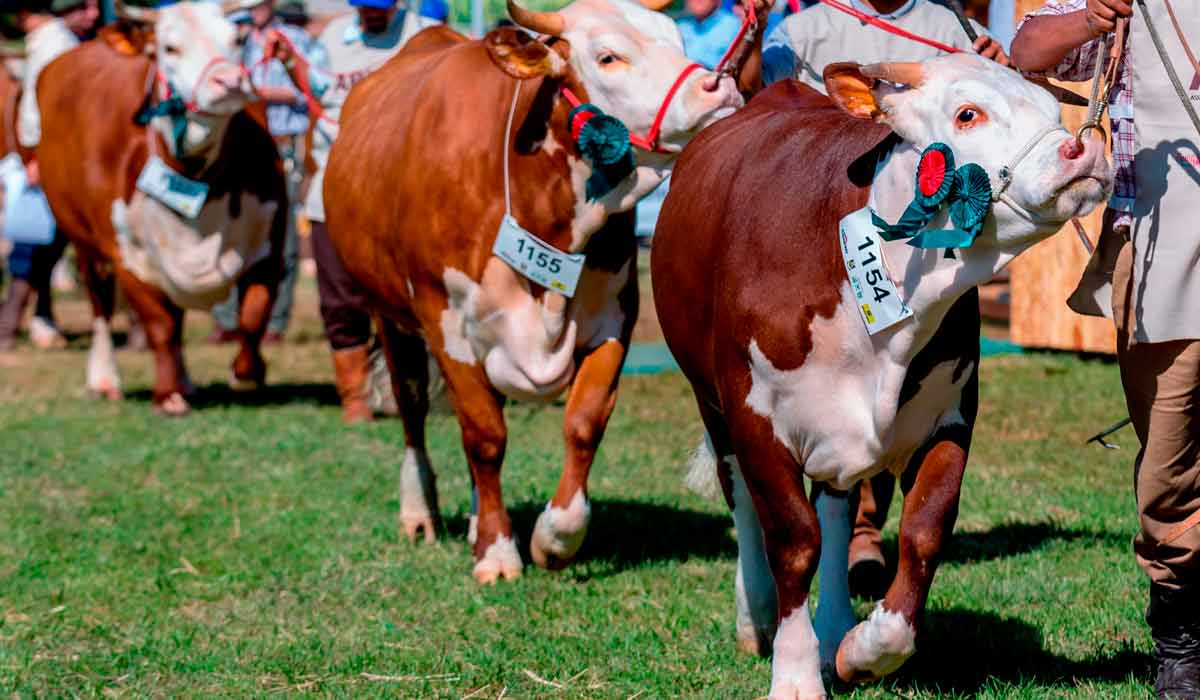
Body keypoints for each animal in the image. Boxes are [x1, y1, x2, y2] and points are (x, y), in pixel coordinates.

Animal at [36, 0, 286, 413]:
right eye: (170, 48)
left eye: (237, 39)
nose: (230, 81)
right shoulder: (126, 255)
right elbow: (160, 325)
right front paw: (167, 395)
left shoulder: (270, 242)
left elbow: (253, 315)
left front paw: (246, 373)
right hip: (82, 241)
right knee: (100, 304)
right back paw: (105, 379)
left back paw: (186, 381)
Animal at [324, 0, 744, 581]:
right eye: (607, 56)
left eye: (677, 38)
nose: (718, 86)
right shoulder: (448, 324)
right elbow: (485, 437)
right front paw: (498, 552)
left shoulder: (613, 320)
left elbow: (583, 424)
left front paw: (555, 538)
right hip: (391, 316)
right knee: (412, 409)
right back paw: (420, 512)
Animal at [652, 56, 1108, 700]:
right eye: (968, 114)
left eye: (1050, 108)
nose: (1083, 149)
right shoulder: (755, 417)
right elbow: (793, 541)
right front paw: (794, 674)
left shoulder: (950, 415)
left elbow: (923, 531)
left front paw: (861, 650)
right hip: (710, 402)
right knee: (741, 499)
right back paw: (757, 616)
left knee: (837, 510)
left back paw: (834, 626)